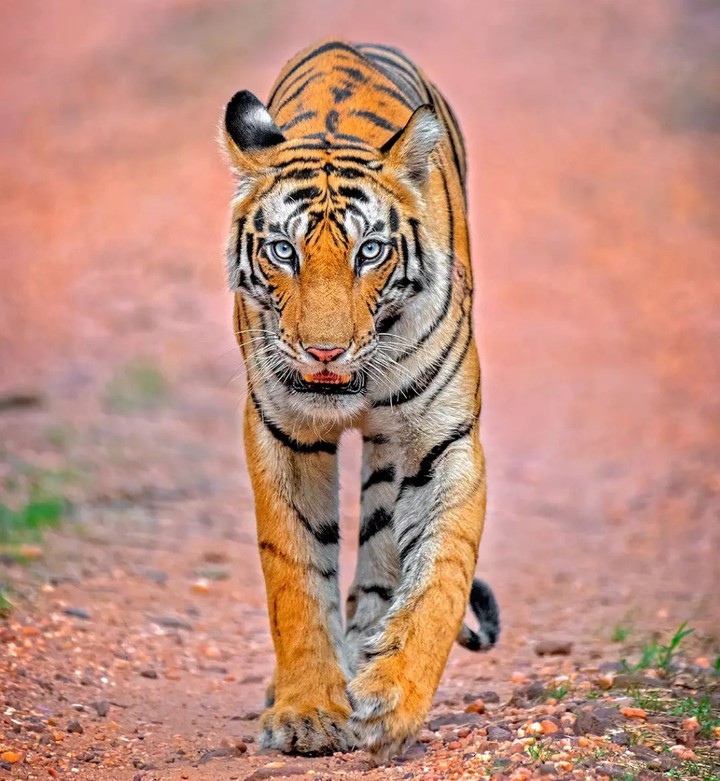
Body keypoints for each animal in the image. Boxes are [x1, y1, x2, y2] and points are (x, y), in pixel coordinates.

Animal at [220, 39, 500, 761]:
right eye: (282, 251)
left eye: (370, 251)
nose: (324, 352)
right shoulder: (282, 432)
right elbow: (294, 575)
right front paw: (308, 711)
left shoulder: (443, 441)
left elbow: (442, 573)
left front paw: (392, 697)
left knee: (382, 554)